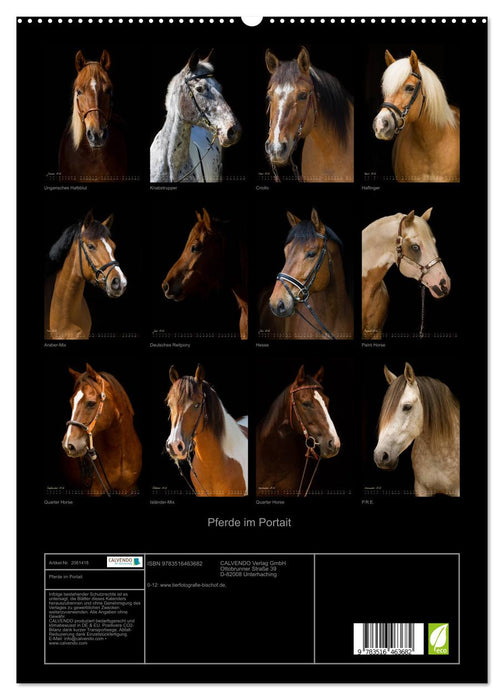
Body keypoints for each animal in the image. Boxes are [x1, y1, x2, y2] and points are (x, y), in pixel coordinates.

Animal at [62, 364, 142, 496]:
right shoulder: (95, 490)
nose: (68, 445)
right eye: (71, 402)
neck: (120, 452)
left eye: (91, 403)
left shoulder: (129, 489)